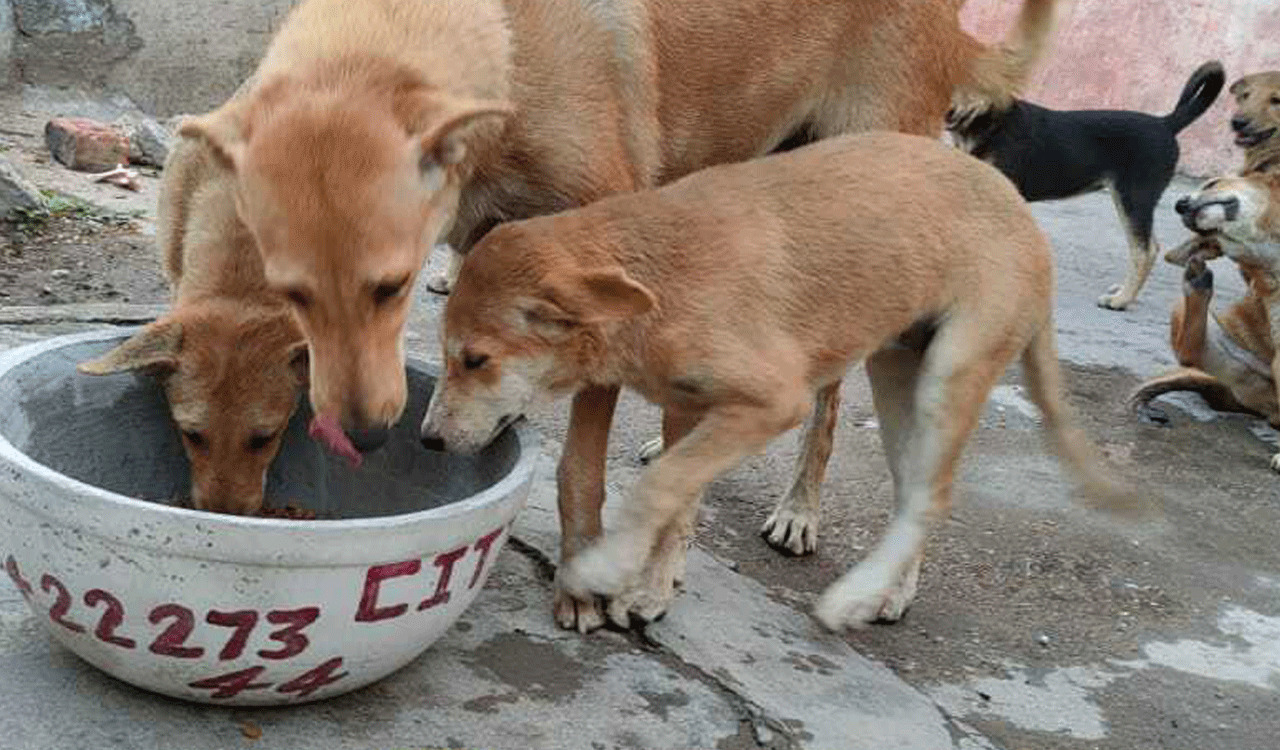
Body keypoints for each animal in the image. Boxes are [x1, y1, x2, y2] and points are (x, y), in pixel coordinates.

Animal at [180, 0, 1059, 629]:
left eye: (391, 288)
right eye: (293, 294)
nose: (365, 438)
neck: (507, 53)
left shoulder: (595, 276)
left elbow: (580, 469)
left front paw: (585, 583)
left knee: (840, 400)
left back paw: (808, 521)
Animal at [419, 133, 1141, 629]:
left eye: (474, 359)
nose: (426, 441)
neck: (655, 281)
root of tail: (1023, 213)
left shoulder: (774, 403)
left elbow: (658, 486)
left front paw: (605, 570)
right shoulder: (692, 413)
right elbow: (678, 501)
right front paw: (651, 589)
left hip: (951, 374)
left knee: (933, 494)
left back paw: (855, 595)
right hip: (898, 382)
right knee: (919, 493)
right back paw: (893, 589)